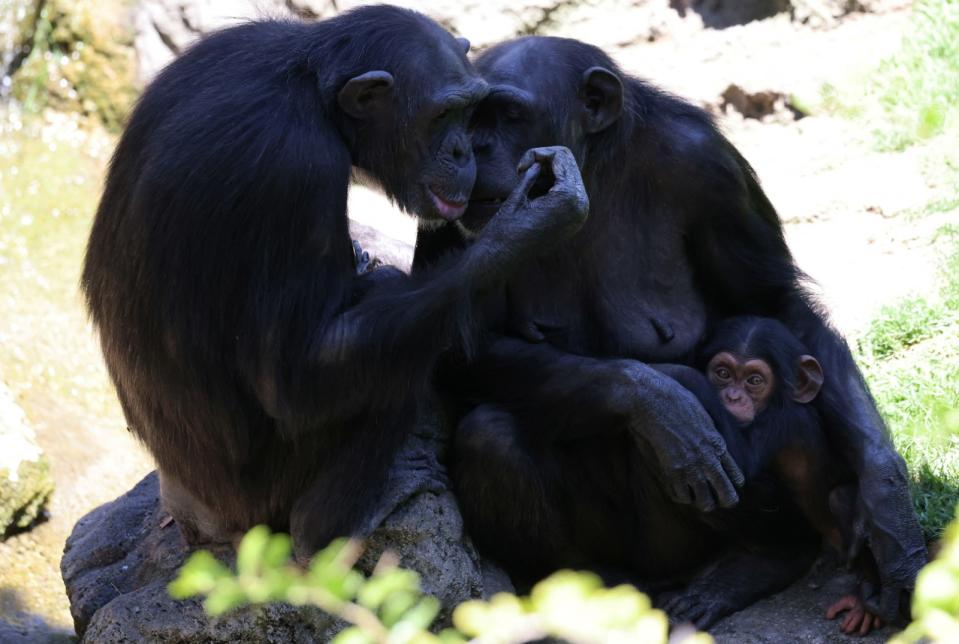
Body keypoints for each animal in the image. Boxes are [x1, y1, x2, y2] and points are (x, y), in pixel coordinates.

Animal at [84, 5, 592, 556]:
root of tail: (200, 524)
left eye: (471, 111)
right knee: (391, 368)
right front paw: (523, 227)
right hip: (262, 502)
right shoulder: (297, 167)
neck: (312, 90)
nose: (464, 151)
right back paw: (329, 528)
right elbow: (296, 373)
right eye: (442, 116)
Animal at [656, 316, 880, 632]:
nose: (732, 396)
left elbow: (738, 460)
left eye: (754, 381)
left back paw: (865, 599)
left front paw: (666, 374)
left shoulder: (780, 421)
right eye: (722, 373)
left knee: (841, 499)